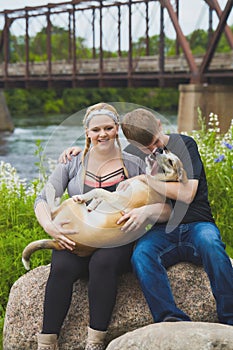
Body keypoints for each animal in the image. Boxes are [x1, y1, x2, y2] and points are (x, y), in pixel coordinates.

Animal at [21, 149, 187, 270]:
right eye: (166, 150)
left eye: (171, 161)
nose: (158, 150)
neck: (154, 182)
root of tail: (59, 243)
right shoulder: (116, 193)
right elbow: (99, 196)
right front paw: (92, 205)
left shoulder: (118, 198)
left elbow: (98, 191)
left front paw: (84, 197)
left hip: (70, 206)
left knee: (53, 209)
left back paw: (52, 192)